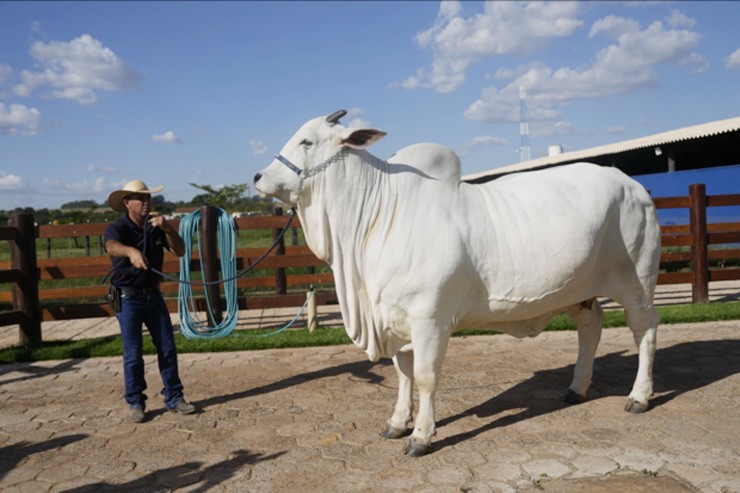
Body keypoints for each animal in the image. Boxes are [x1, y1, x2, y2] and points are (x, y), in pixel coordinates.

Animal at [254, 109, 660, 456]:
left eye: (307, 141)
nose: (258, 177)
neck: (378, 218)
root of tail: (635, 186)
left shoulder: (429, 319)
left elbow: (425, 377)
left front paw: (421, 435)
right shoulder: (396, 320)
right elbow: (402, 374)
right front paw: (397, 423)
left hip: (637, 284)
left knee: (645, 331)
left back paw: (639, 396)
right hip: (581, 292)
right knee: (591, 328)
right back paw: (577, 388)